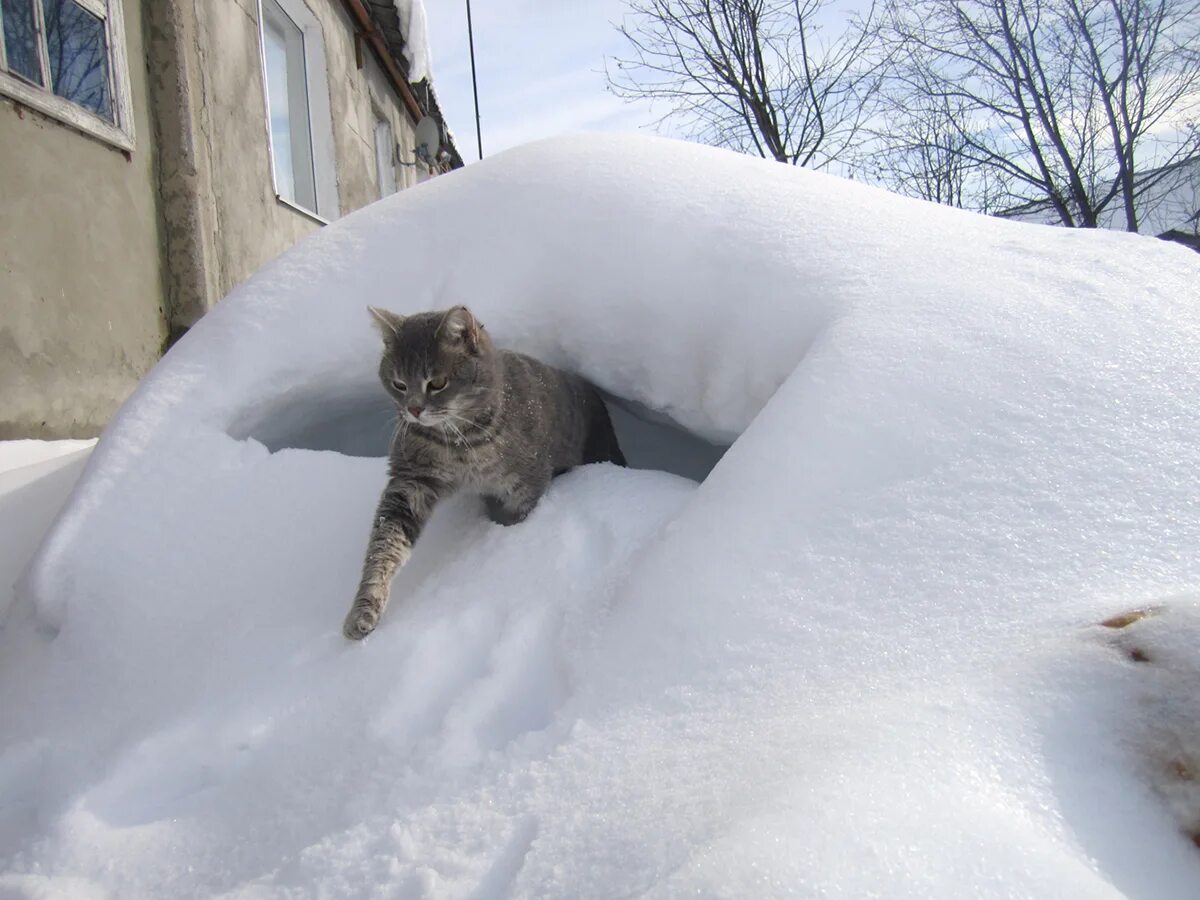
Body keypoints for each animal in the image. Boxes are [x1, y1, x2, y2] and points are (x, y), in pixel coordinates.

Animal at [340, 307, 628, 638]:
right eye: (398, 384)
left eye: (437, 382)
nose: (413, 410)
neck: (458, 441)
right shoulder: (412, 482)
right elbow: (384, 546)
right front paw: (365, 608)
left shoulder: (527, 483)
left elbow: (516, 516)